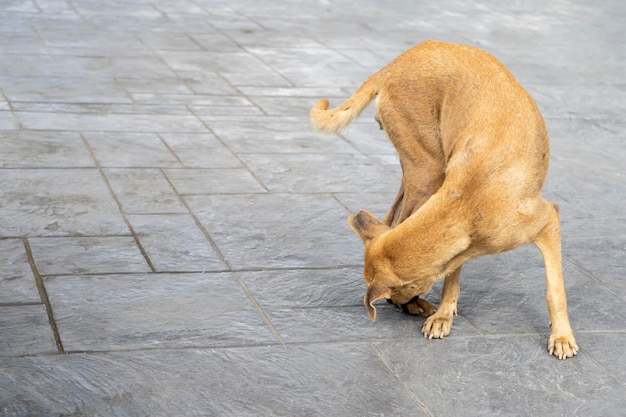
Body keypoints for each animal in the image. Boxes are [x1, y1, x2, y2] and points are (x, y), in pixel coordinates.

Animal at [310, 38, 576, 358]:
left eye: (398, 290)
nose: (394, 303)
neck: (468, 203)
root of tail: (391, 67)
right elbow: (452, 276)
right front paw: (443, 315)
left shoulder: (548, 220)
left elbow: (555, 290)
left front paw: (561, 336)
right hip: (425, 171)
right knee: (395, 218)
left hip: (425, 172)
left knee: (392, 218)